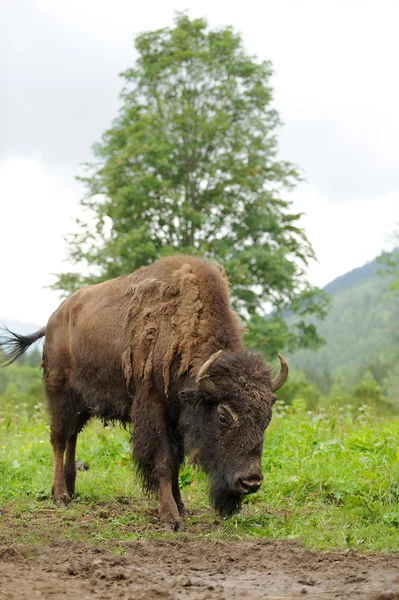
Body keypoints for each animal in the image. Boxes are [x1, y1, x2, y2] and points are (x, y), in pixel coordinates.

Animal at [0, 253, 290, 528]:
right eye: (223, 417)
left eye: (266, 418)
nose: (250, 482)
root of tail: (53, 320)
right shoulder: (153, 410)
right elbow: (163, 462)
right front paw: (171, 517)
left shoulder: (177, 419)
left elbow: (176, 463)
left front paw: (181, 506)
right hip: (60, 394)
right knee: (59, 439)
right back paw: (60, 495)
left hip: (84, 403)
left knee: (72, 436)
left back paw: (71, 489)